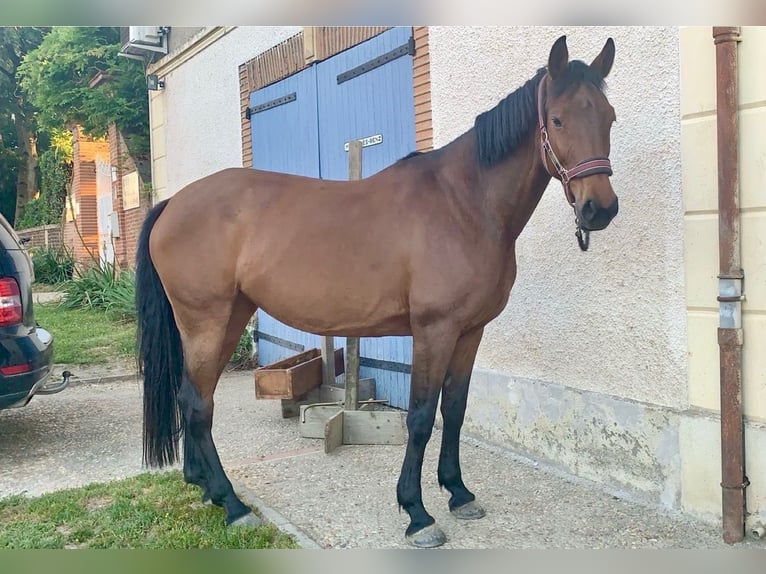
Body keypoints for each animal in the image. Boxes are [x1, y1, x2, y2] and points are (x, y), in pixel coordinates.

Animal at [135, 34, 619, 548]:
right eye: (557, 119)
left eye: (609, 116)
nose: (599, 209)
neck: (465, 204)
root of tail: (172, 204)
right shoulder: (433, 330)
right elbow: (422, 416)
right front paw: (417, 513)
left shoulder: (470, 332)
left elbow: (456, 409)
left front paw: (458, 493)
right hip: (205, 322)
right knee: (196, 403)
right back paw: (232, 505)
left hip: (227, 319)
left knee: (193, 396)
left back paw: (205, 487)